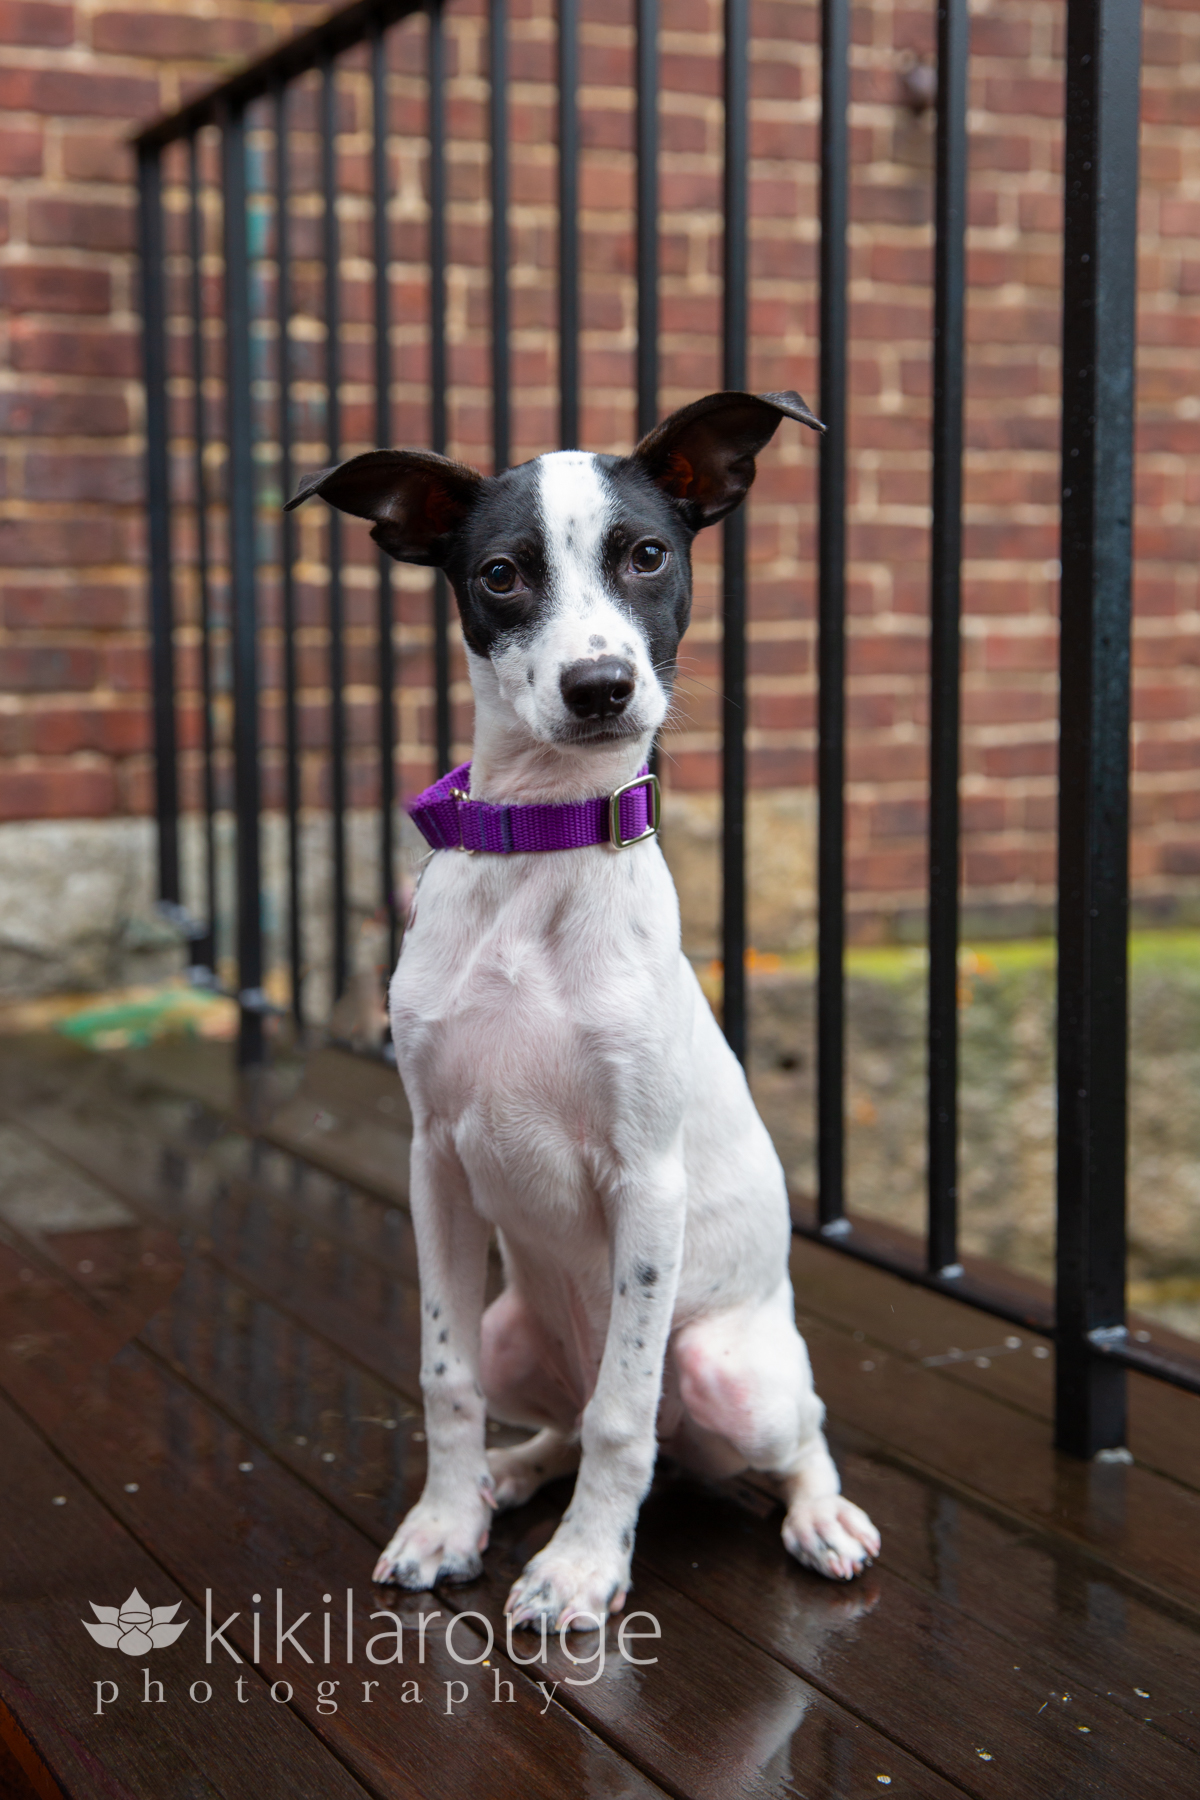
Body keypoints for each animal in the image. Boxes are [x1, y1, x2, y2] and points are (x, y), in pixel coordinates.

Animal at [286, 390, 877, 1634]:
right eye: (502, 574)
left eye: (647, 554)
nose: (600, 687)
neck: (540, 850)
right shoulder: (435, 1161)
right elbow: (445, 1377)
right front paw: (446, 1521)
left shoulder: (646, 1181)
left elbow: (620, 1417)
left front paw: (584, 1568)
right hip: (519, 1334)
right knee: (556, 1415)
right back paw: (509, 1477)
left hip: (733, 1376)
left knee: (781, 1434)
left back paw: (820, 1519)